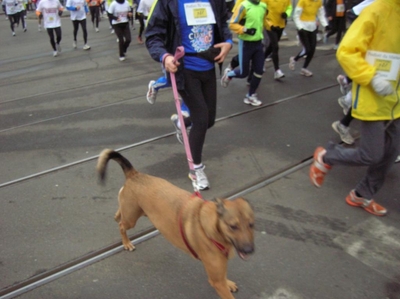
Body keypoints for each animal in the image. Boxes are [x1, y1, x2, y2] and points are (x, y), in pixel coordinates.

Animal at [95, 149, 255, 298]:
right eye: (232, 226)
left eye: (252, 224)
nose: (249, 250)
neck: (211, 228)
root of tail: (135, 174)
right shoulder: (216, 281)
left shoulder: (219, 272)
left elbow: (224, 276)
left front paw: (229, 283)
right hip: (131, 219)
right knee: (122, 225)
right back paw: (126, 243)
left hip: (132, 212)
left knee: (119, 215)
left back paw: (117, 216)